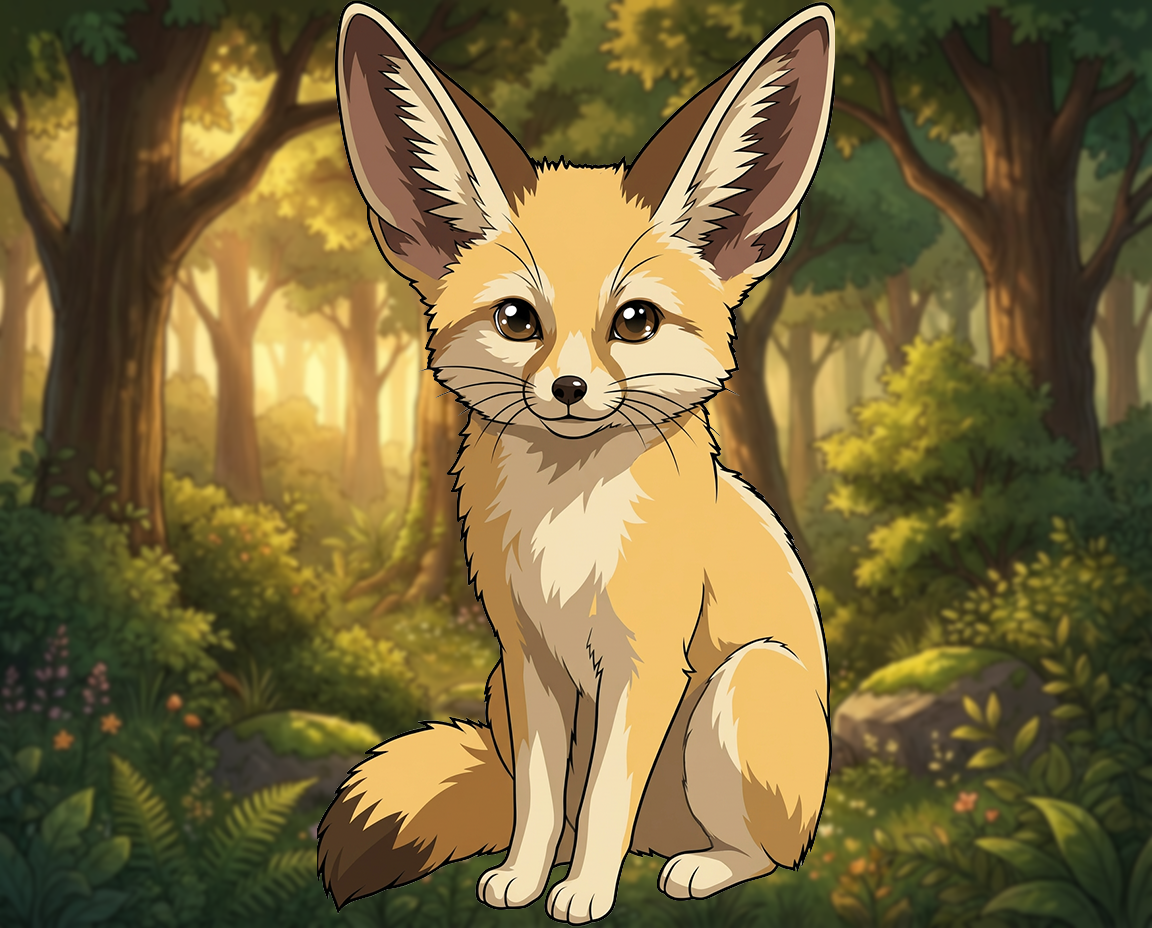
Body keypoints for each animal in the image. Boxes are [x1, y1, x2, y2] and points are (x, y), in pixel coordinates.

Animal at [318, 3, 835, 923]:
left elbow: (601, 800)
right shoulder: (529, 660)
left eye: (634, 322)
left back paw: (696, 868)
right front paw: (526, 879)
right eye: (518, 319)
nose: (566, 389)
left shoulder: (645, 666)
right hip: (500, 683)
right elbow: (544, 794)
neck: (570, 528)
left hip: (743, 687)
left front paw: (587, 892)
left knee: (764, 853)